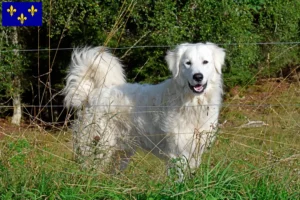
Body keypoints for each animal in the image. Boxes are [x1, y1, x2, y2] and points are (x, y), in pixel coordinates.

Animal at [64, 42, 226, 172]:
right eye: (188, 63)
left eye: (205, 62)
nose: (198, 76)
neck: (191, 103)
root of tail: (91, 94)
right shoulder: (178, 154)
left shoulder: (195, 152)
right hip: (98, 148)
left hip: (120, 154)